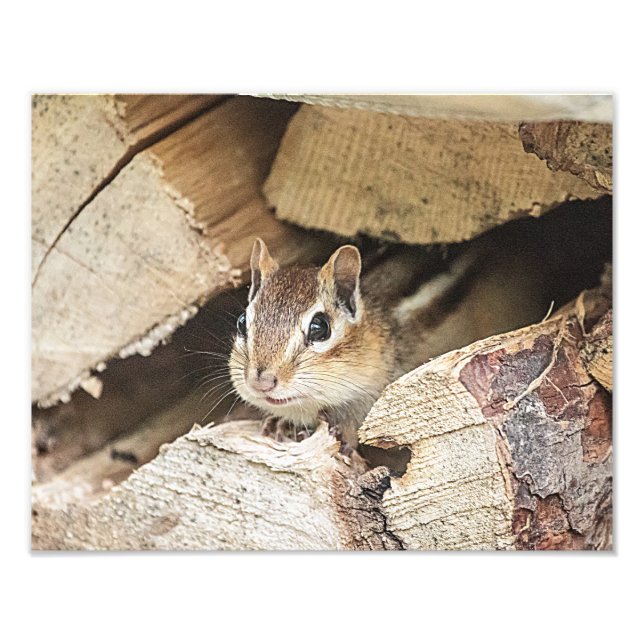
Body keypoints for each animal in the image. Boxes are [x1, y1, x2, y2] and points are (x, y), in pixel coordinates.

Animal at [228, 197, 612, 450]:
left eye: (320, 328)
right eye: (243, 321)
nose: (262, 381)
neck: (381, 329)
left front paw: (340, 433)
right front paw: (279, 423)